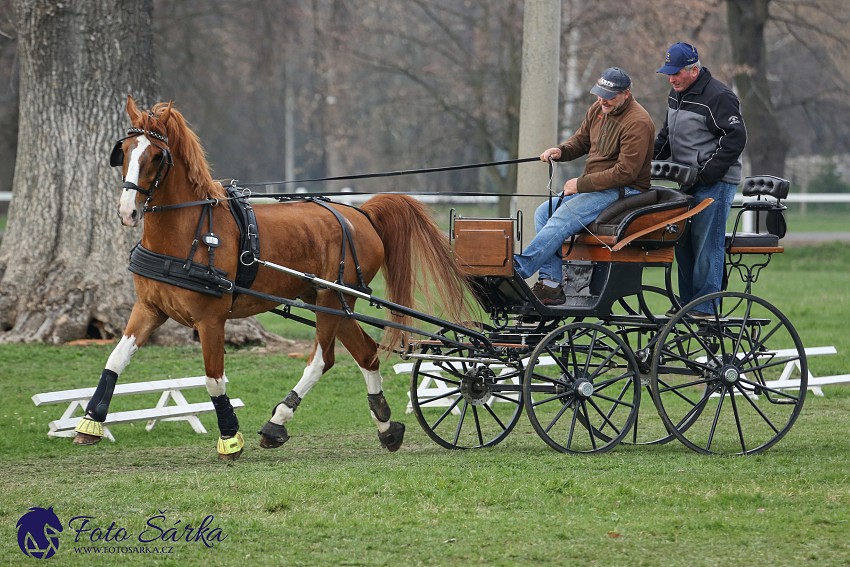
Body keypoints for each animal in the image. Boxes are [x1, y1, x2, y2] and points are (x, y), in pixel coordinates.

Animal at [73, 97, 470, 460]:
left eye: (157, 156)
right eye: (124, 151)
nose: (128, 211)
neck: (191, 231)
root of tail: (362, 214)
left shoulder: (211, 320)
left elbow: (213, 378)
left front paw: (230, 438)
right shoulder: (149, 308)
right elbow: (115, 359)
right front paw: (90, 422)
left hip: (331, 300)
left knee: (322, 359)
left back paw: (277, 422)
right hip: (331, 302)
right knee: (367, 353)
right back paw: (386, 428)